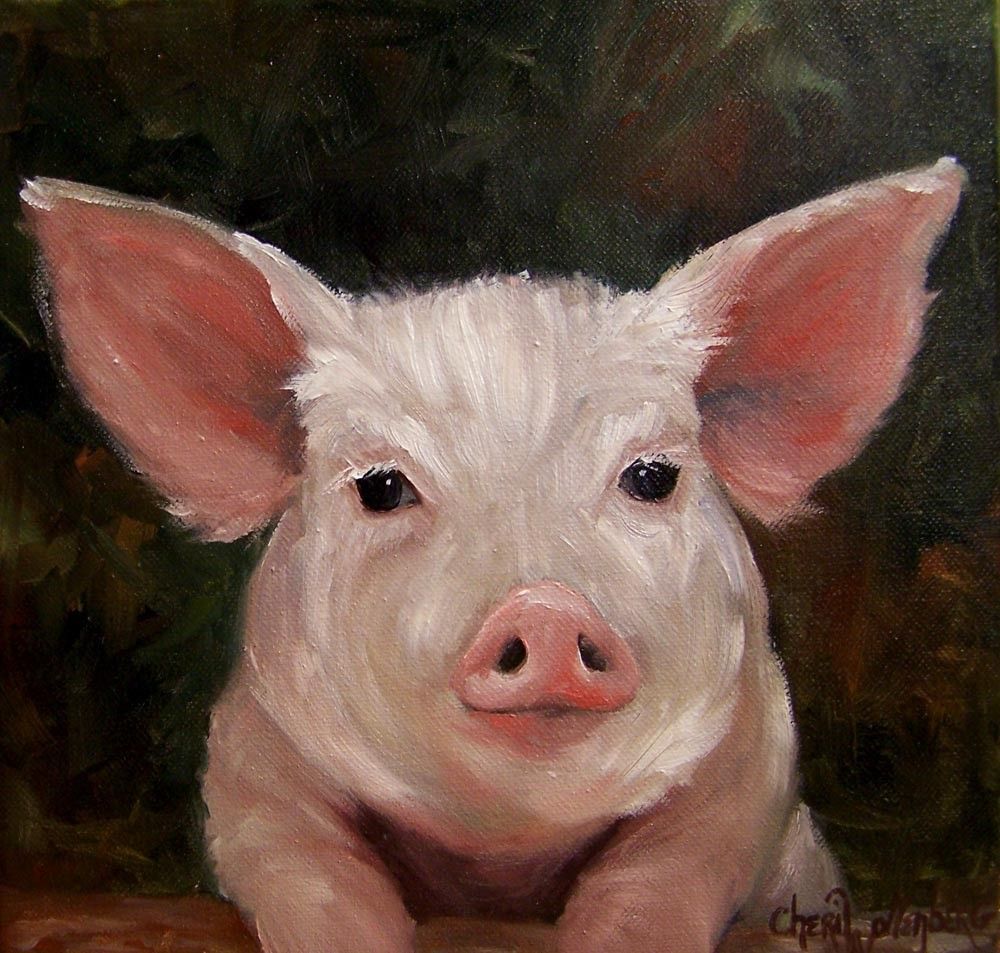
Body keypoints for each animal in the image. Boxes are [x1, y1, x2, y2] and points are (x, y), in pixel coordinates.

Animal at [21, 157, 964, 953]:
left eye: (651, 475)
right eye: (382, 487)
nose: (544, 607)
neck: (501, 857)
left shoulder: (751, 756)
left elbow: (662, 873)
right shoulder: (252, 760)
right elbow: (313, 877)